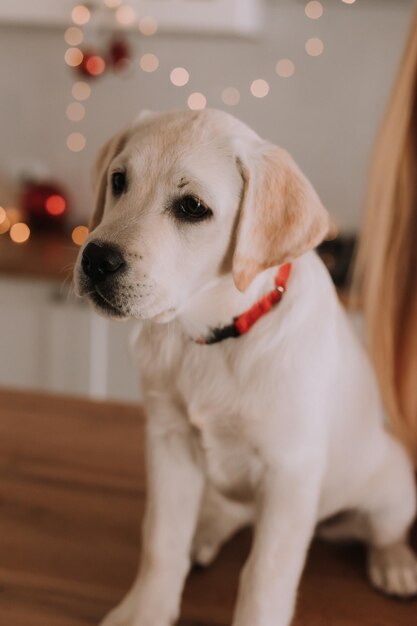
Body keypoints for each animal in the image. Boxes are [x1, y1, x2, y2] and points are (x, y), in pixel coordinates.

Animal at [73, 109, 414, 620]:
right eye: (118, 181)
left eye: (192, 207)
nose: (95, 259)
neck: (214, 337)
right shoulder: (169, 441)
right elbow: (161, 541)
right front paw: (145, 611)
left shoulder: (290, 471)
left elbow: (264, 574)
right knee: (229, 512)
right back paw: (205, 533)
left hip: (392, 483)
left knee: (386, 530)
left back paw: (395, 564)